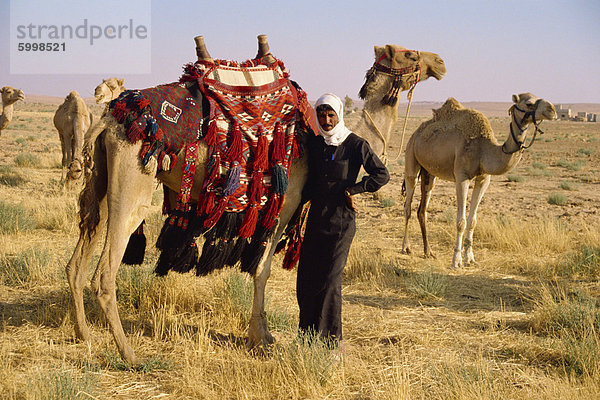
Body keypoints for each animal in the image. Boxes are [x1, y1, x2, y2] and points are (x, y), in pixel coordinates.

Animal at [65, 36, 446, 364]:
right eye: (409, 53)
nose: (439, 62)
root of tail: (108, 119)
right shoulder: (283, 203)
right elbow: (262, 270)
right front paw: (260, 338)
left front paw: (261, 335)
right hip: (134, 182)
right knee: (105, 273)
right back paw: (129, 354)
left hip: (103, 184)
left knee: (77, 260)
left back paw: (85, 335)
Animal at [400, 94, 556, 268]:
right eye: (529, 103)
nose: (552, 110)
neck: (484, 148)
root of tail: (417, 133)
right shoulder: (462, 176)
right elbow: (461, 221)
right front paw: (456, 260)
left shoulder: (483, 179)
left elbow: (473, 220)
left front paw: (470, 258)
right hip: (411, 157)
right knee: (408, 205)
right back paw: (406, 248)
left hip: (429, 172)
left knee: (422, 210)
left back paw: (429, 252)